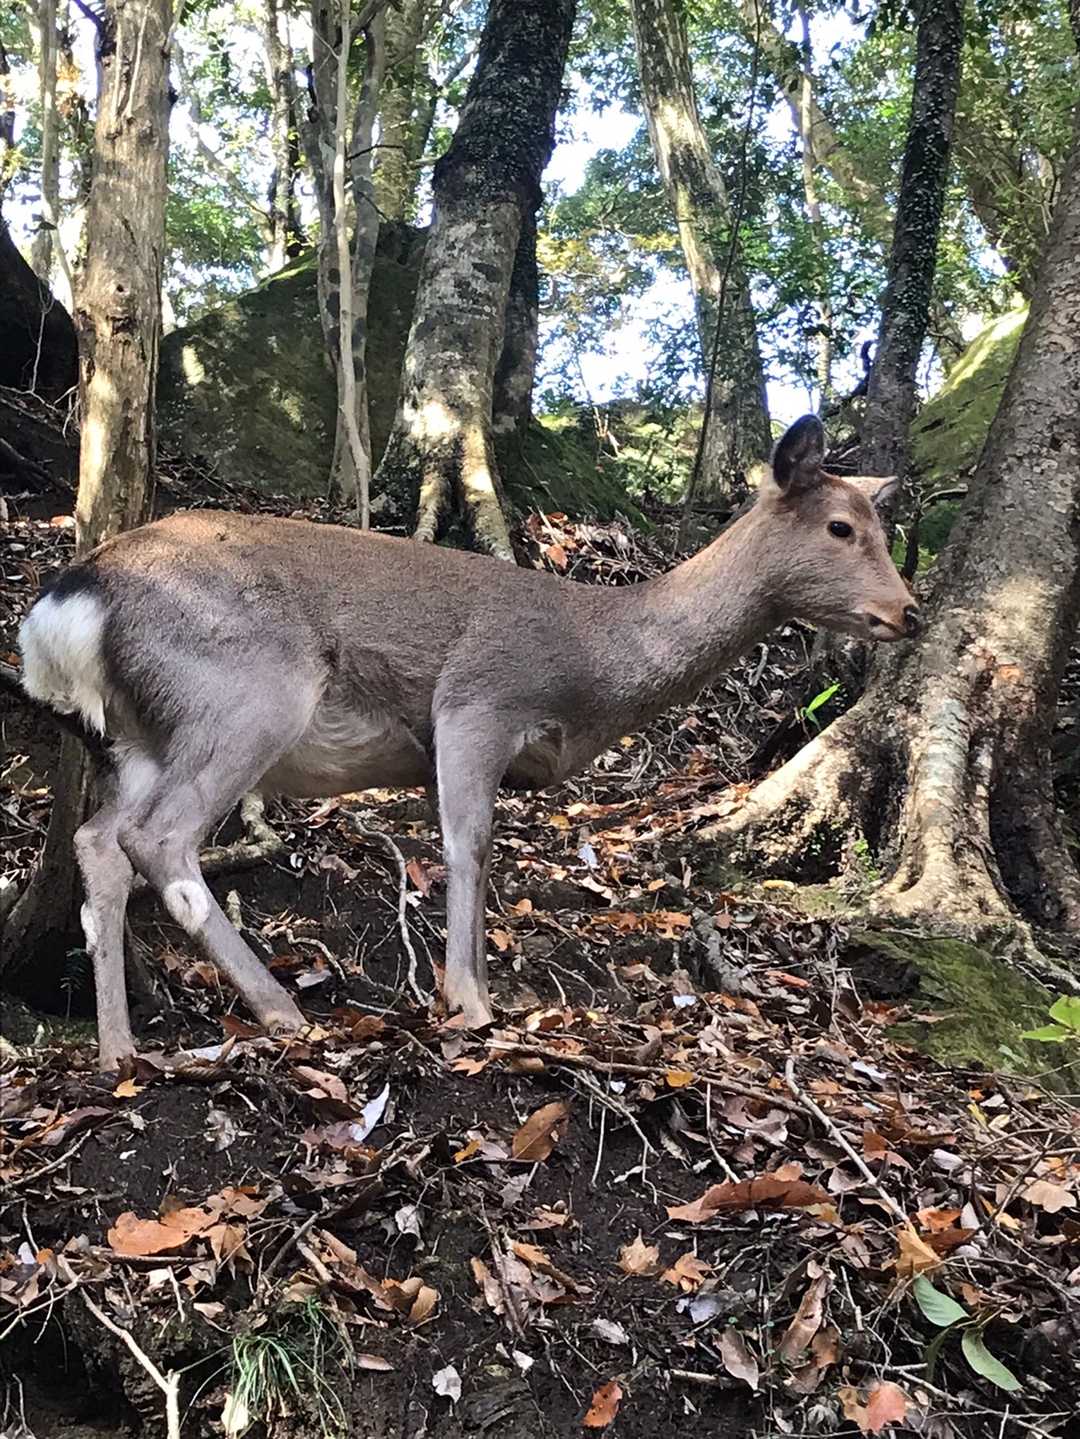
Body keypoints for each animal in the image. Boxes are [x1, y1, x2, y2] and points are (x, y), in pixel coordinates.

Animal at [18, 415, 920, 1070]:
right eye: (841, 527)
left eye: (881, 526)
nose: (908, 611)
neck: (591, 658)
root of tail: (61, 608)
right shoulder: (476, 702)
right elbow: (468, 843)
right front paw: (471, 1002)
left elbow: (481, 854)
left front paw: (487, 990)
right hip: (242, 694)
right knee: (159, 838)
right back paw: (280, 1009)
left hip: (139, 737)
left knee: (98, 839)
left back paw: (118, 1048)